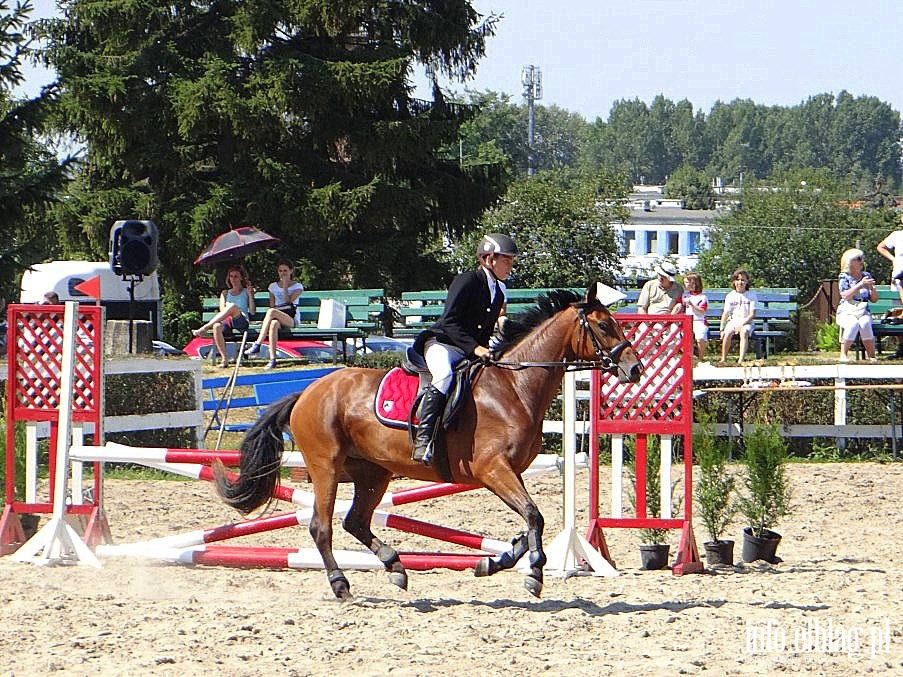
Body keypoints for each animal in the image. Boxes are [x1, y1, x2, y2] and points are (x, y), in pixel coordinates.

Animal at [214, 282, 644, 600]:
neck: (513, 387)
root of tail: (306, 392)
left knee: (355, 521)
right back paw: (341, 584)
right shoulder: (493, 470)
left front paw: (492, 563)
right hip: (325, 469)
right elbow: (534, 517)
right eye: (604, 327)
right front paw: (534, 575)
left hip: (372, 473)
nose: (635, 369)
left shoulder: (509, 473)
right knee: (322, 527)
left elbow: (527, 526)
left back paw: (395, 567)